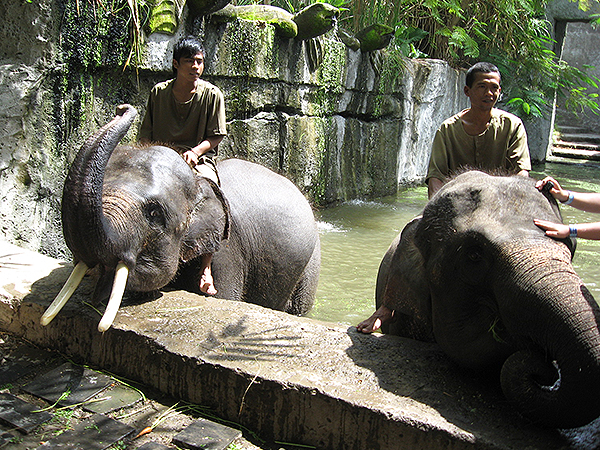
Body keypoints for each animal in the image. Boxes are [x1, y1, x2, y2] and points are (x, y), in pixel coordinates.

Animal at [41, 104, 324, 330]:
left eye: (154, 213)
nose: (122, 108)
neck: (197, 182)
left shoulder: (227, 250)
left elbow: (222, 295)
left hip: (312, 261)